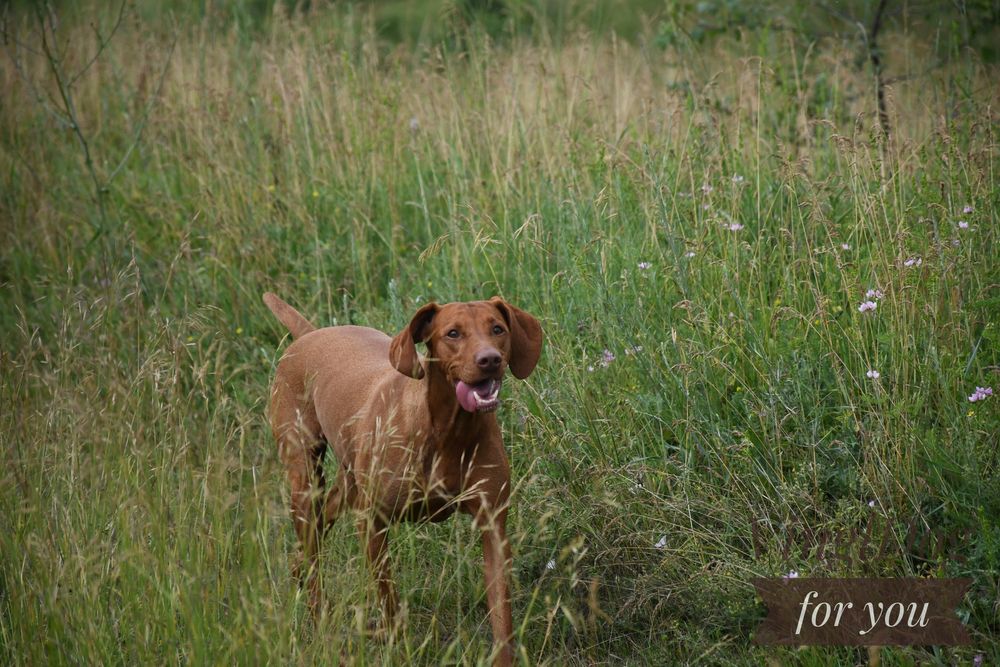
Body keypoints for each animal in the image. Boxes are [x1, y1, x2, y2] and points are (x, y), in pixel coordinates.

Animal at [264, 294, 540, 667]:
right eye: (453, 333)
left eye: (497, 329)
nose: (490, 360)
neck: (448, 430)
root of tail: (310, 334)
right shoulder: (372, 522)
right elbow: (389, 601)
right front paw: (396, 646)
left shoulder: (493, 526)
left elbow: (502, 618)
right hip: (304, 478)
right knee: (313, 558)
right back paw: (321, 623)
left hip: (347, 483)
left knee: (313, 540)